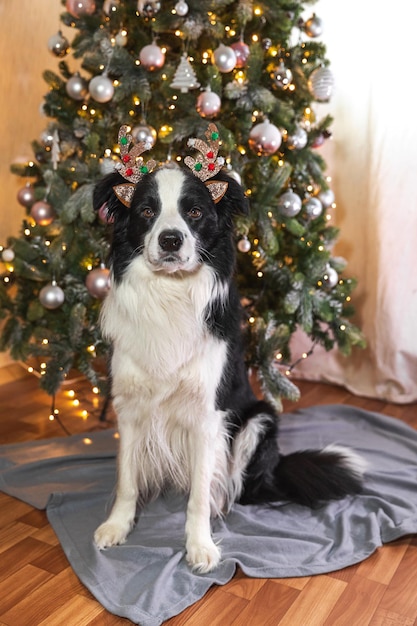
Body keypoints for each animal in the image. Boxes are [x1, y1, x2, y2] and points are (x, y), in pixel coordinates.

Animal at [92, 124, 364, 572]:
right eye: (147, 211)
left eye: (195, 212)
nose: (171, 240)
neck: (169, 293)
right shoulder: (129, 406)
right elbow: (127, 478)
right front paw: (117, 526)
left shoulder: (208, 417)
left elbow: (200, 495)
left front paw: (200, 545)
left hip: (259, 419)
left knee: (240, 486)